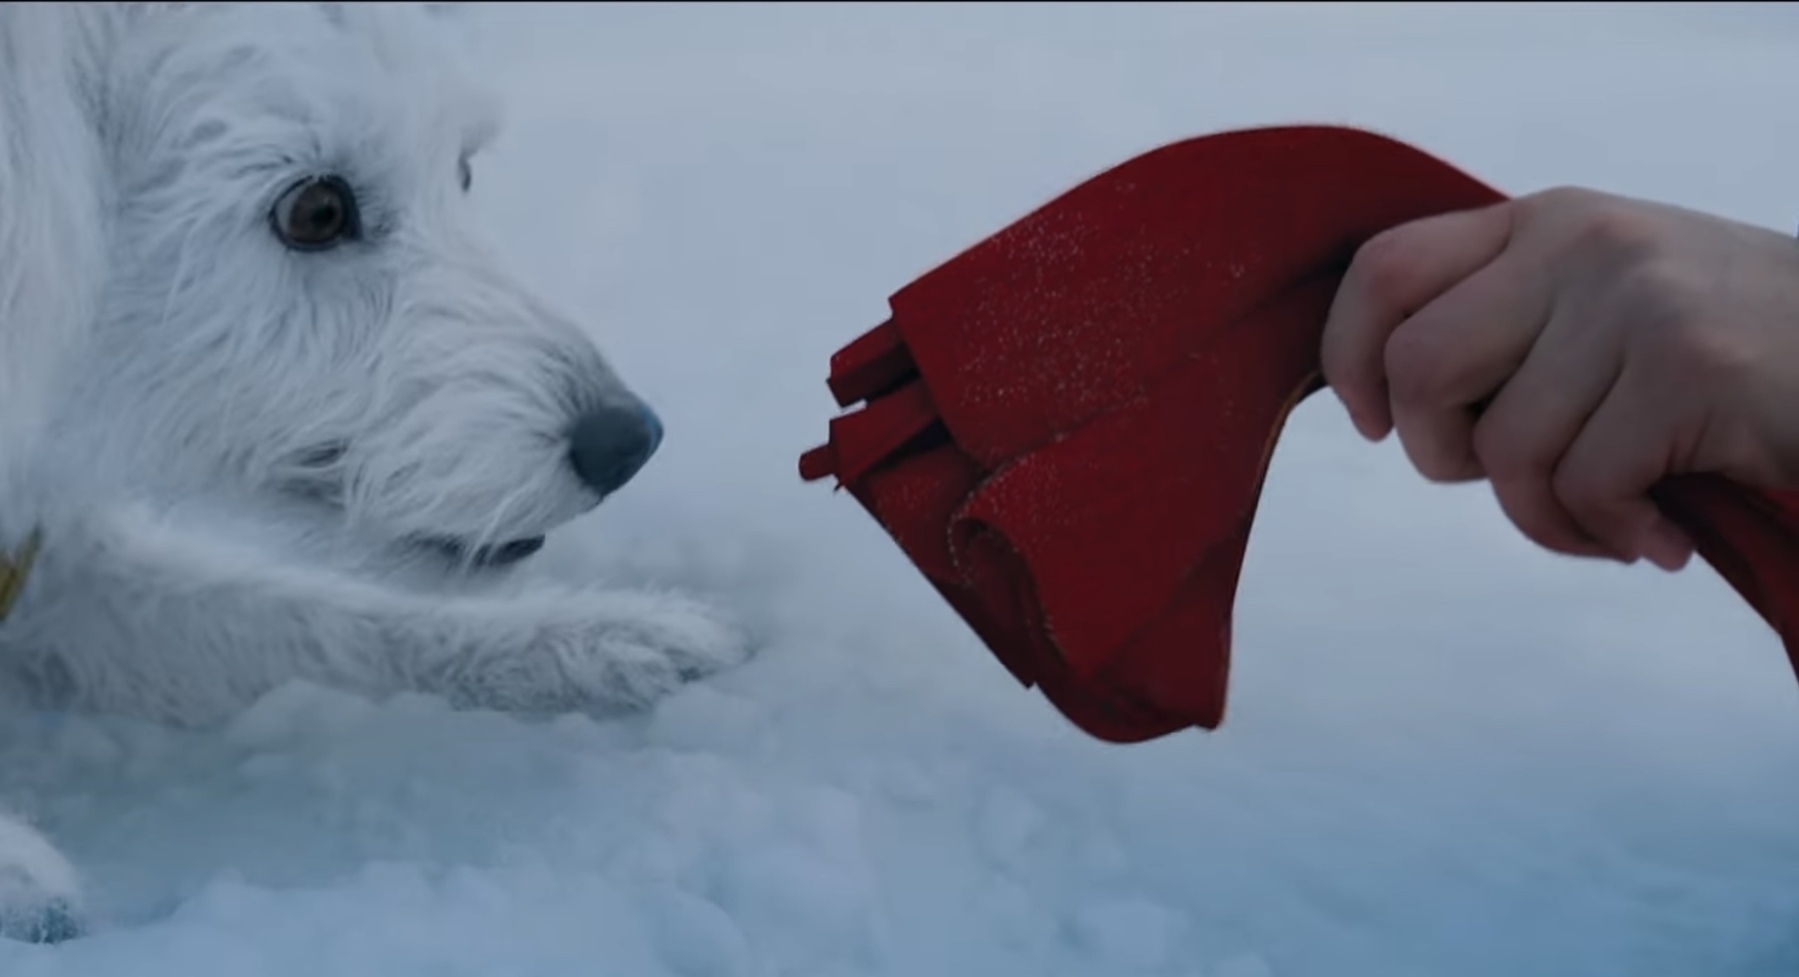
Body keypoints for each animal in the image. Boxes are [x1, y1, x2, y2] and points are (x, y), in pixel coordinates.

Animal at [0, 1, 751, 942]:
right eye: (316, 210)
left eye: (460, 168)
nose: (626, 439)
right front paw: (15, 871)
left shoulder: (58, 583)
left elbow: (320, 617)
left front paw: (596, 638)